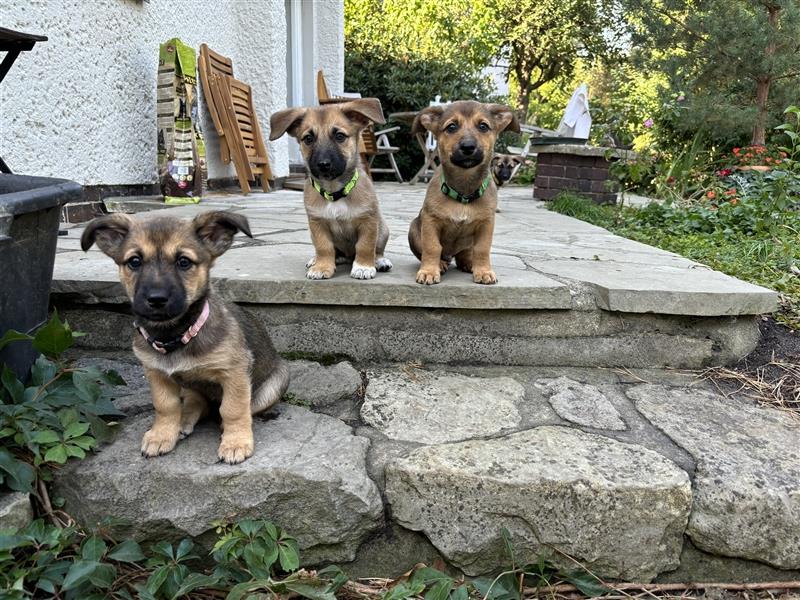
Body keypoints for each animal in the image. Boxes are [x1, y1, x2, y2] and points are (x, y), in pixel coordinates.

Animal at [80, 211, 288, 464]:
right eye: (134, 261)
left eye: (184, 262)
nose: (156, 299)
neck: (175, 335)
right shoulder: (156, 372)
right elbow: (165, 406)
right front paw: (162, 435)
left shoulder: (235, 373)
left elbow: (233, 409)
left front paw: (236, 442)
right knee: (196, 403)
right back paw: (183, 422)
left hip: (275, 384)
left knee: (237, 407)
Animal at [270, 99, 392, 282]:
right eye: (308, 138)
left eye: (339, 136)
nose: (323, 164)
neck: (335, 193)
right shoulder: (317, 223)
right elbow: (324, 247)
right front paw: (321, 266)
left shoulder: (368, 222)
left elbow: (365, 246)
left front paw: (363, 266)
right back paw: (318, 259)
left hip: (383, 228)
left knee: (377, 250)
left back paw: (379, 261)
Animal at [406, 100, 520, 284]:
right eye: (451, 127)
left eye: (483, 126)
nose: (468, 147)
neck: (463, 193)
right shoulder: (430, 222)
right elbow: (432, 247)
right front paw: (429, 271)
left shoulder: (486, 224)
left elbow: (482, 249)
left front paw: (484, 271)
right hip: (414, 229)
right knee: (433, 253)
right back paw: (441, 264)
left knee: (464, 255)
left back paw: (469, 263)